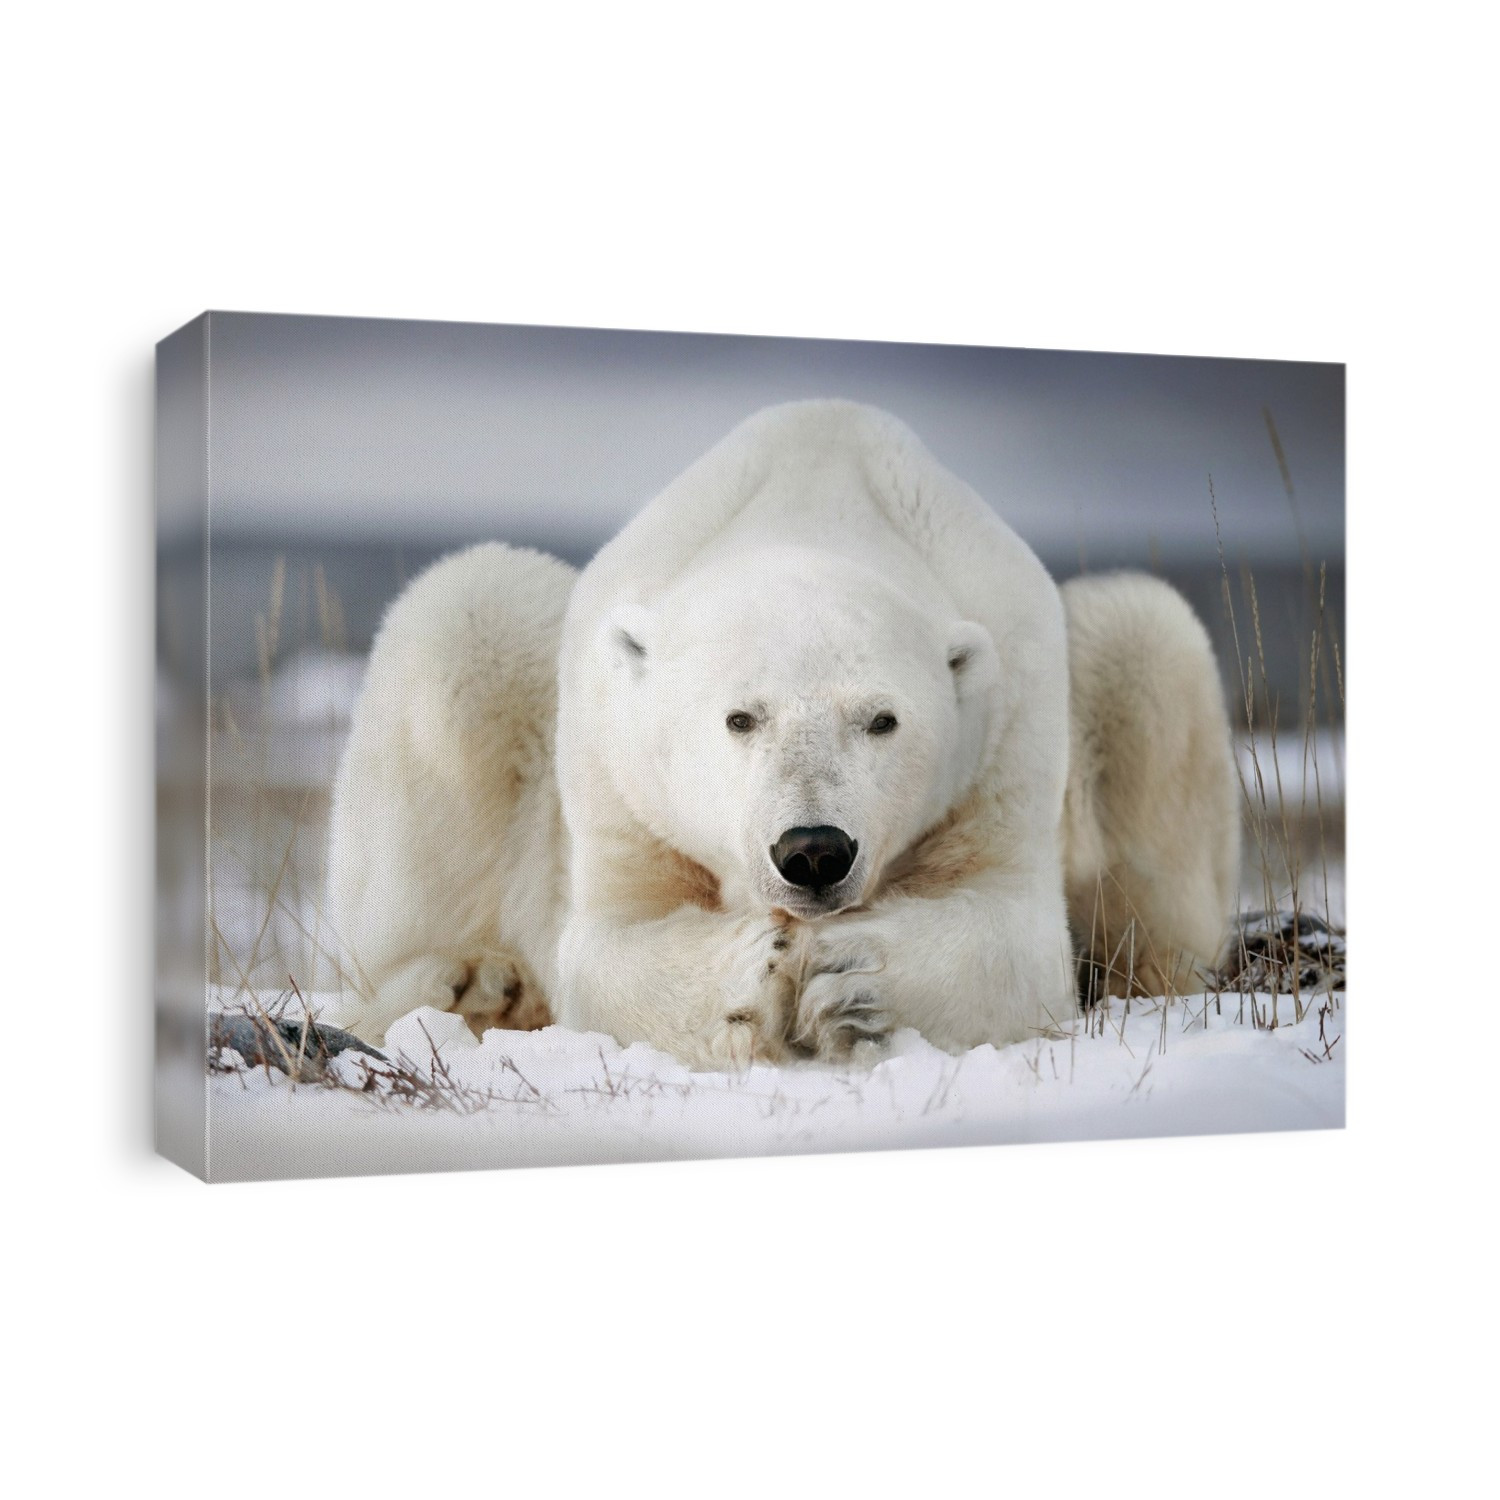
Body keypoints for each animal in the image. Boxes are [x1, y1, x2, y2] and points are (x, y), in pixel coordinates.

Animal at [323, 400, 1240, 1065]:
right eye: (740, 717)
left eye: (882, 720)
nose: (813, 851)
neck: (815, 497)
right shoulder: (615, 762)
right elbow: (611, 941)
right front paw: (757, 972)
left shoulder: (1007, 729)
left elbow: (1013, 928)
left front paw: (850, 978)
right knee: (467, 616)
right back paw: (471, 983)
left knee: (1146, 643)